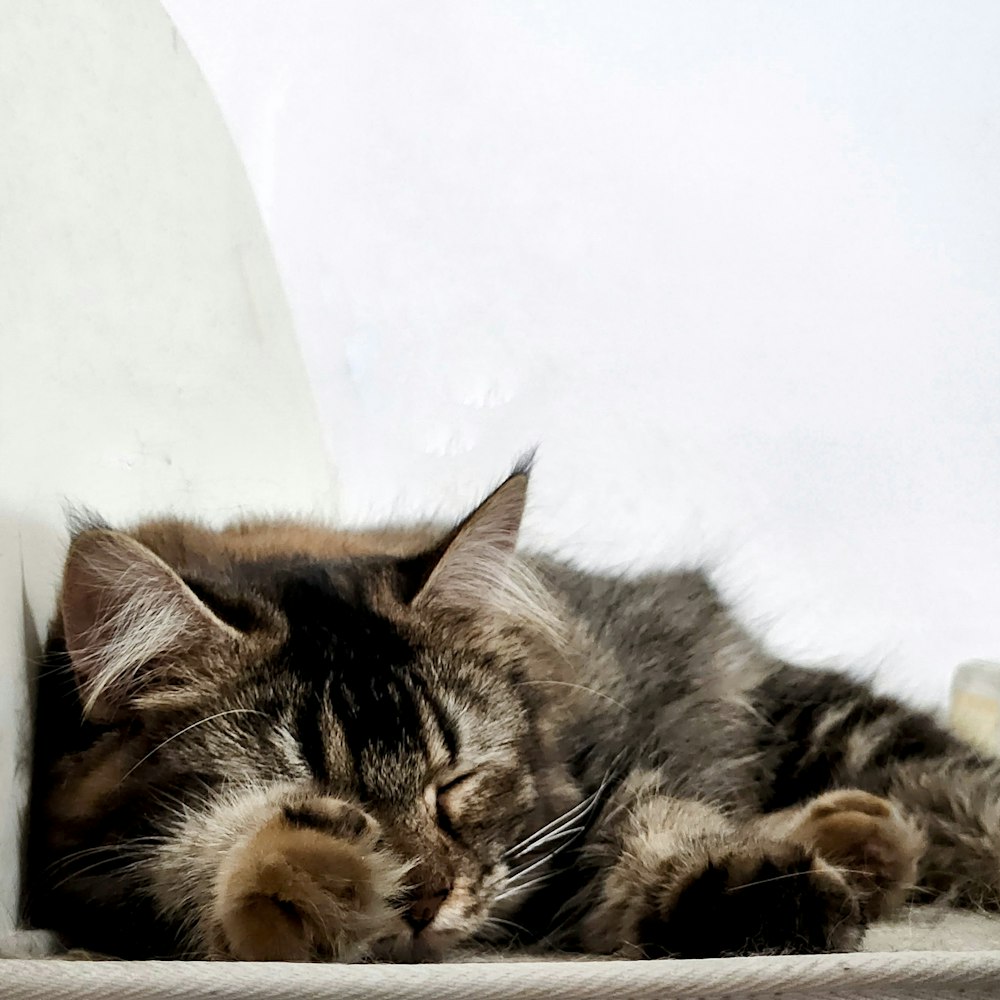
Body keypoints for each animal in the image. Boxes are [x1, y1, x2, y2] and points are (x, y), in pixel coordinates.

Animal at [23, 464, 1000, 964]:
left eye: (457, 781)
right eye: (313, 789)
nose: (426, 897)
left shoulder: (587, 793)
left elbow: (657, 820)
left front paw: (744, 886)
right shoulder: (92, 881)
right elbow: (193, 858)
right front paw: (303, 871)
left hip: (846, 734)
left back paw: (859, 841)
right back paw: (859, 842)